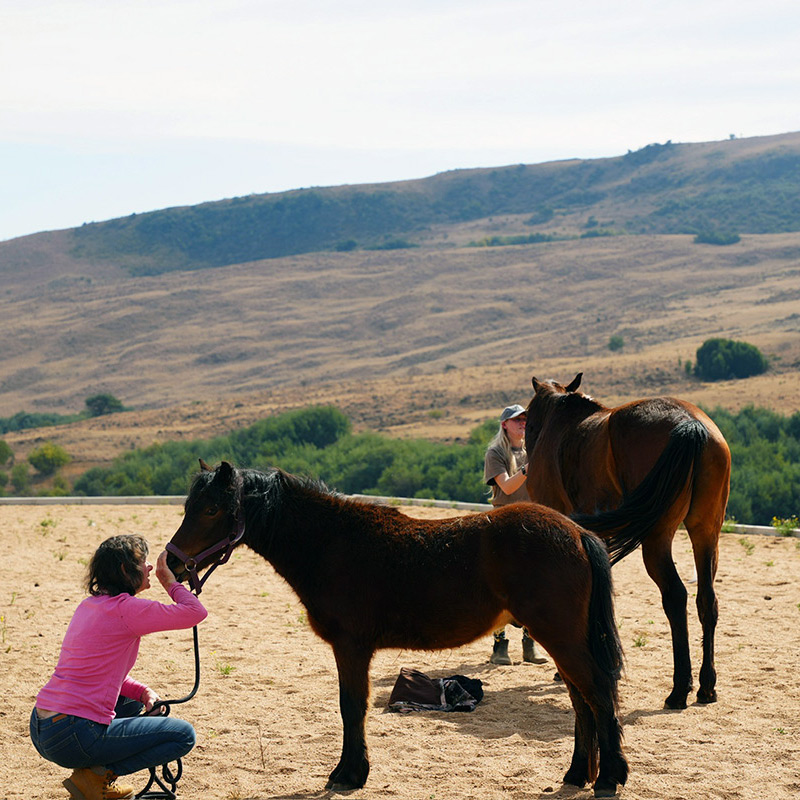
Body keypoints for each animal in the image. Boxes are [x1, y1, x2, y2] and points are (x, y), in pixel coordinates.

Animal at [166, 460, 629, 797]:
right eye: (189, 506)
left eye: (211, 509)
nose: (172, 563)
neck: (332, 543)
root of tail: (578, 532)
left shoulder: (351, 647)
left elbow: (352, 707)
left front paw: (348, 774)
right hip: (560, 640)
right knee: (582, 701)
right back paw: (577, 774)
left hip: (561, 638)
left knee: (598, 694)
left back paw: (609, 778)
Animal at [524, 373, 731, 710]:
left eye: (528, 420)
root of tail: (691, 424)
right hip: (705, 534)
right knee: (706, 600)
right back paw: (706, 686)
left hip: (658, 538)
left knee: (675, 597)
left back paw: (679, 689)